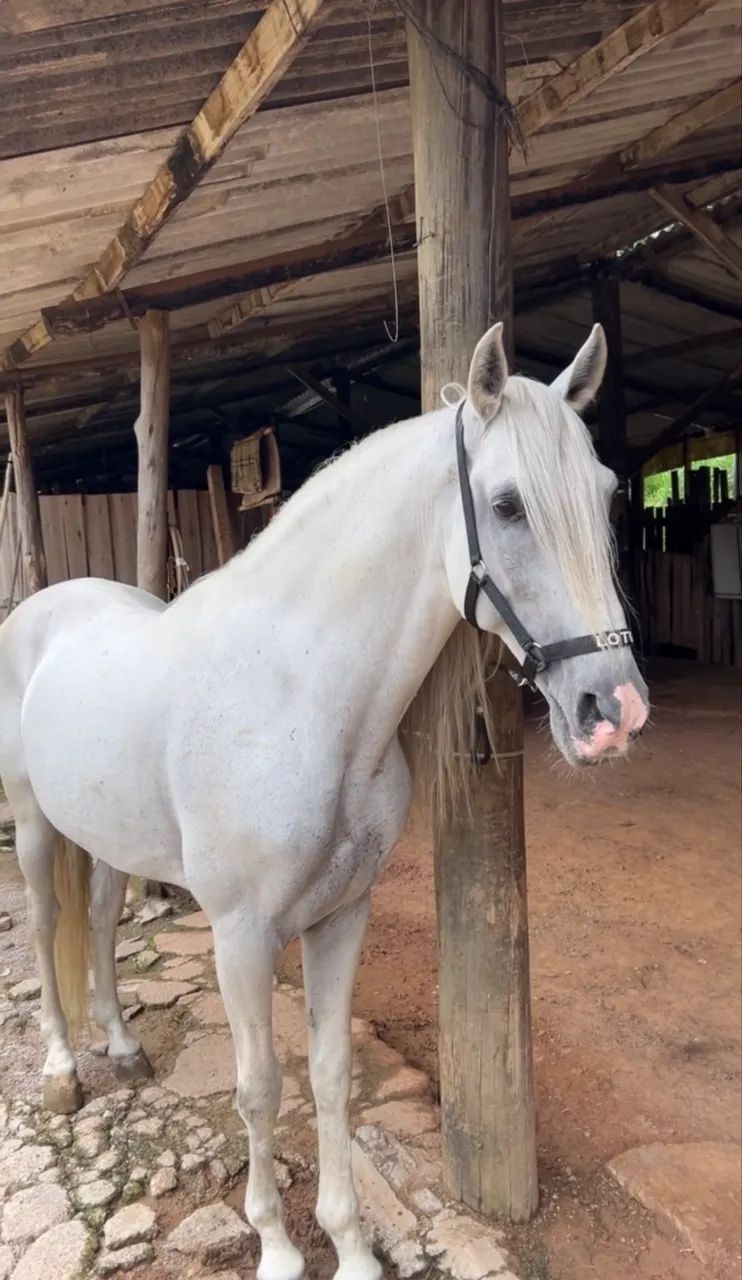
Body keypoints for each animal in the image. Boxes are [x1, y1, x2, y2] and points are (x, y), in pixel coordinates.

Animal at [0, 321, 648, 1280]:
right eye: (506, 507)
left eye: (605, 495)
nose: (614, 712)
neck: (296, 695)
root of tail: (43, 607)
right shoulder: (239, 937)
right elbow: (260, 1087)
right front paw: (275, 1245)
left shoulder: (343, 914)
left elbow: (331, 1074)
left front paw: (349, 1245)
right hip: (36, 825)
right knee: (47, 931)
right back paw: (60, 1072)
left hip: (107, 839)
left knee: (107, 920)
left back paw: (121, 1046)